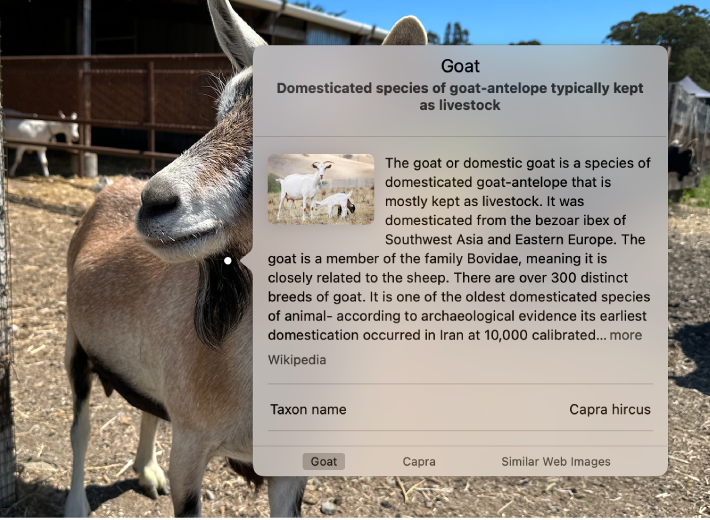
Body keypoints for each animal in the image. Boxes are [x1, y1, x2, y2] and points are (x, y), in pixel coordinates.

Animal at [63, 2, 427, 517]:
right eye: (221, 112)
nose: (155, 202)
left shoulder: (289, 467)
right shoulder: (191, 447)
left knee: (149, 412)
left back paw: (147, 472)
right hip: (75, 345)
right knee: (81, 426)